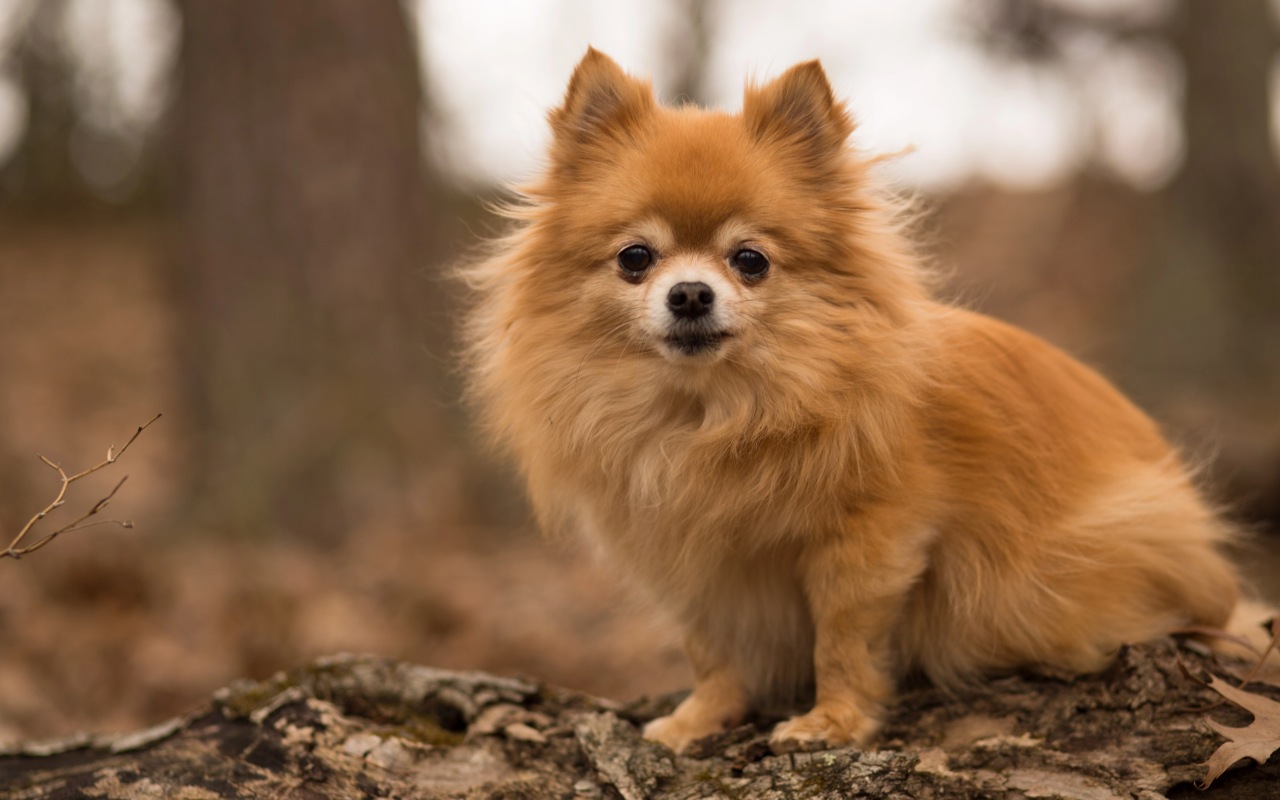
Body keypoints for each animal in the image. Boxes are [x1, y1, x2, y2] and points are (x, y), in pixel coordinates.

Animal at [458, 48, 1259, 747]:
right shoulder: (695, 565)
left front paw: (831, 722)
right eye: (635, 258)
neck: (712, 412)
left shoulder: (869, 543)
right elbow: (712, 649)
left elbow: (840, 642)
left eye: (749, 260)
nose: (688, 293)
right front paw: (701, 719)